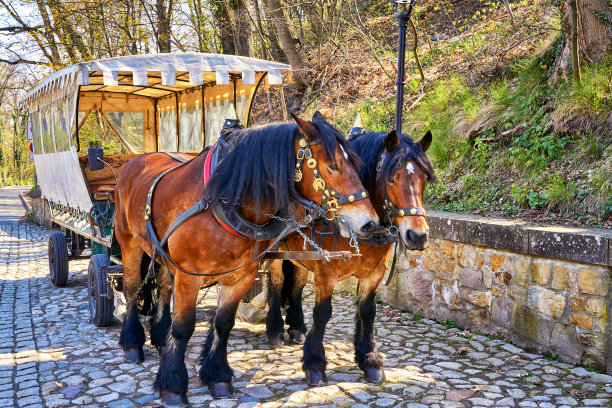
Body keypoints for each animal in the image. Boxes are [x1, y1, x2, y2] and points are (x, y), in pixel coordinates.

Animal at [111, 111, 378, 404]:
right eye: (333, 165)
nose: (370, 223)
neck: (222, 202)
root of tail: (137, 160)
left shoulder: (240, 277)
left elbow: (223, 323)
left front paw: (217, 376)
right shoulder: (189, 276)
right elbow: (183, 328)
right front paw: (172, 384)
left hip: (160, 253)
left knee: (162, 286)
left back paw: (159, 338)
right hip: (129, 243)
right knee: (132, 288)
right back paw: (132, 342)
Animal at [266, 128, 432, 386]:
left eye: (424, 179)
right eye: (391, 178)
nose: (418, 235)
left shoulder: (374, 273)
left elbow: (367, 311)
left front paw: (369, 359)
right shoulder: (326, 272)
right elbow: (323, 313)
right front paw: (314, 363)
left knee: (296, 285)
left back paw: (297, 327)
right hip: (275, 252)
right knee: (276, 282)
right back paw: (274, 330)